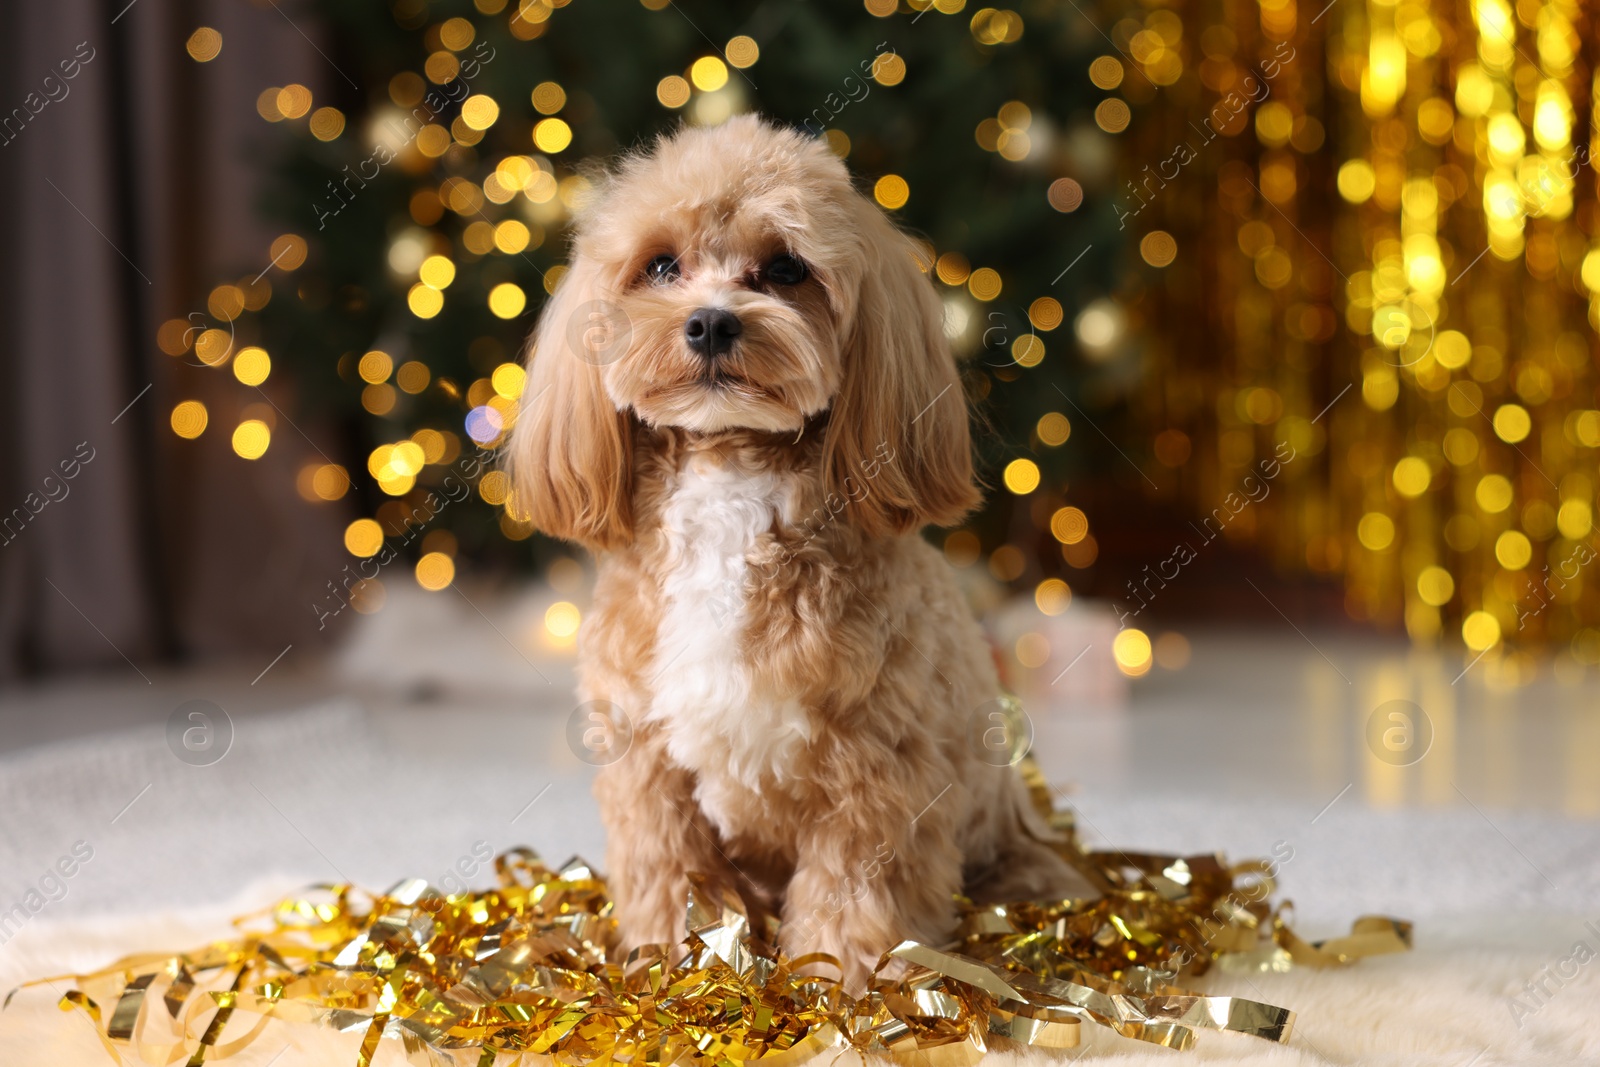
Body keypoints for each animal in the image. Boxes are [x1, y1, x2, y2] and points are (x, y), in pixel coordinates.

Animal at [505, 115, 1094, 985]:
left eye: (786, 268)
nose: (712, 321)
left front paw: (836, 978)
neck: (731, 475)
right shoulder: (651, 768)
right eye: (661, 265)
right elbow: (674, 872)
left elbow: (854, 882)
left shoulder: (877, 767)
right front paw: (679, 965)